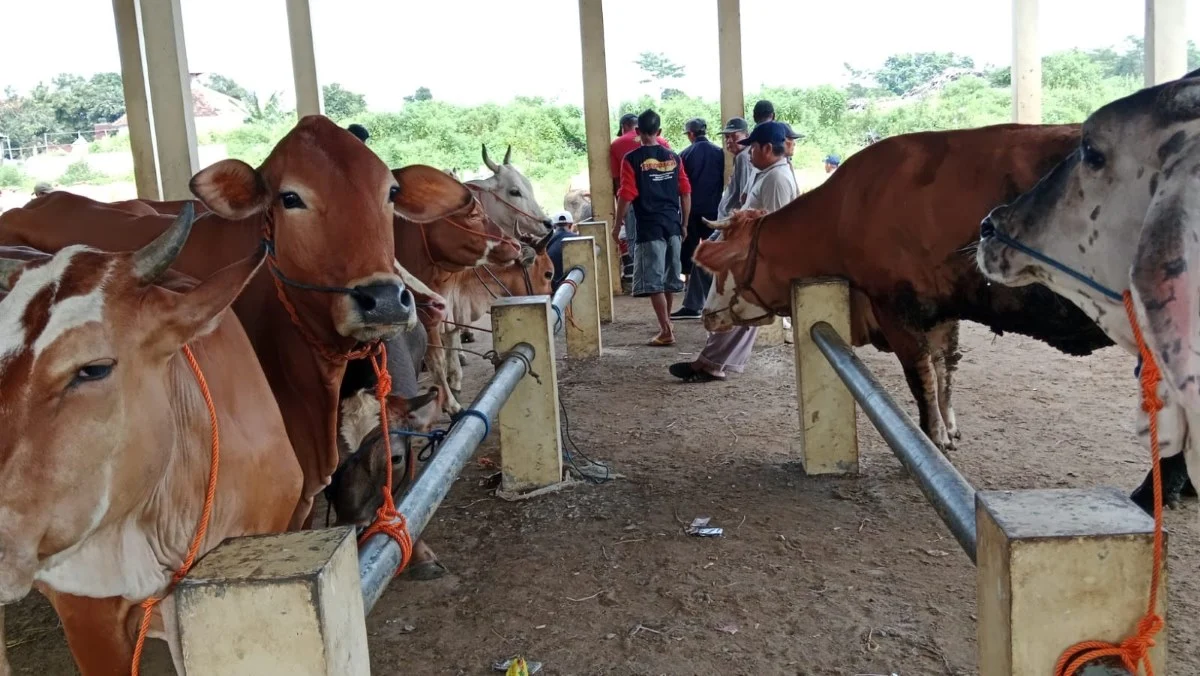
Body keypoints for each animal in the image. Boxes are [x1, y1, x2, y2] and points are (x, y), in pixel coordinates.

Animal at [700, 123, 1108, 449]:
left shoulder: (894, 307)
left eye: (720, 266)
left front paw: (934, 437)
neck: (846, 211)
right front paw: (949, 428)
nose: (706, 314)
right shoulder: (942, 307)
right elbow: (944, 370)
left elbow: (921, 376)